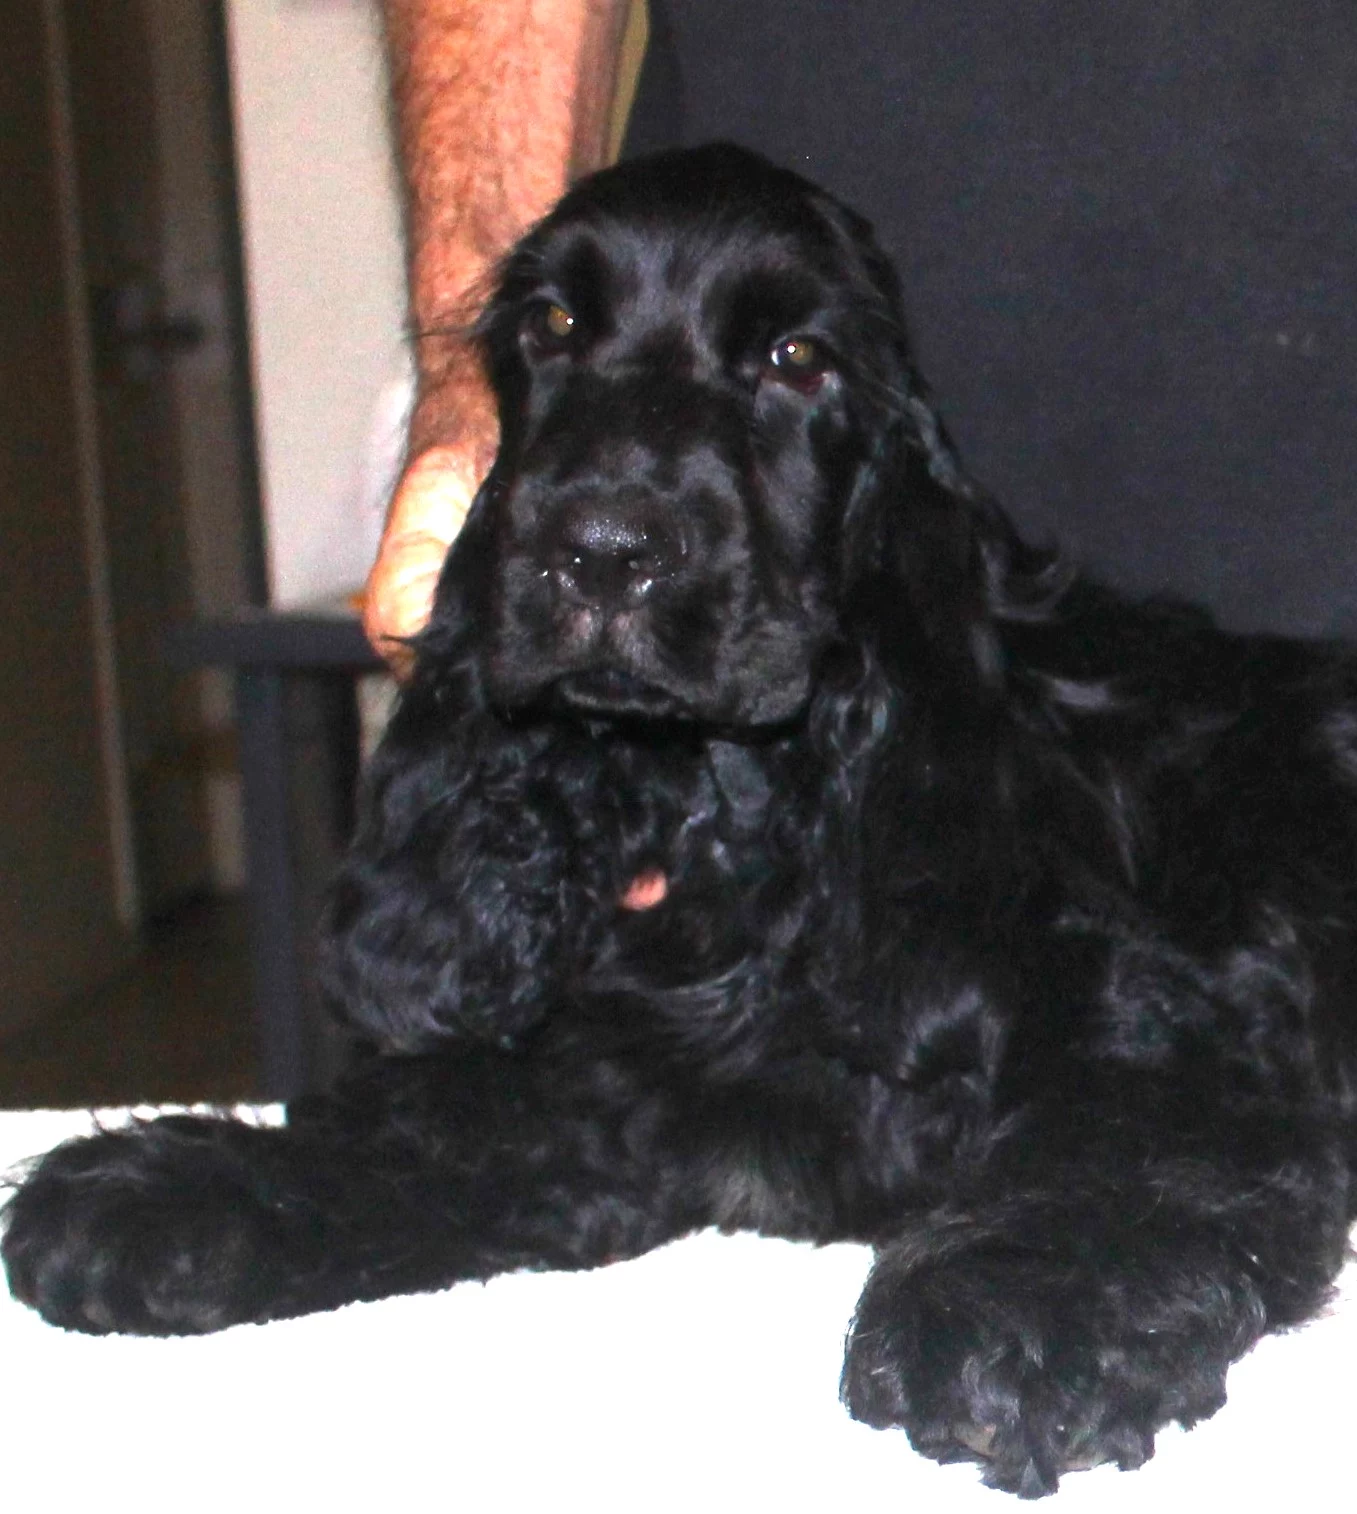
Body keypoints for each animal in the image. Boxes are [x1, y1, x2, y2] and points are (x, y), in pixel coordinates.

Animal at [6, 144, 1357, 1497]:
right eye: (550, 327)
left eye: (797, 357)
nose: (601, 550)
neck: (745, 815)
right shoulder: (608, 1081)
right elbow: (429, 1120)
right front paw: (180, 1181)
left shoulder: (1174, 1014)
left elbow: (1108, 1138)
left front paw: (1010, 1307)